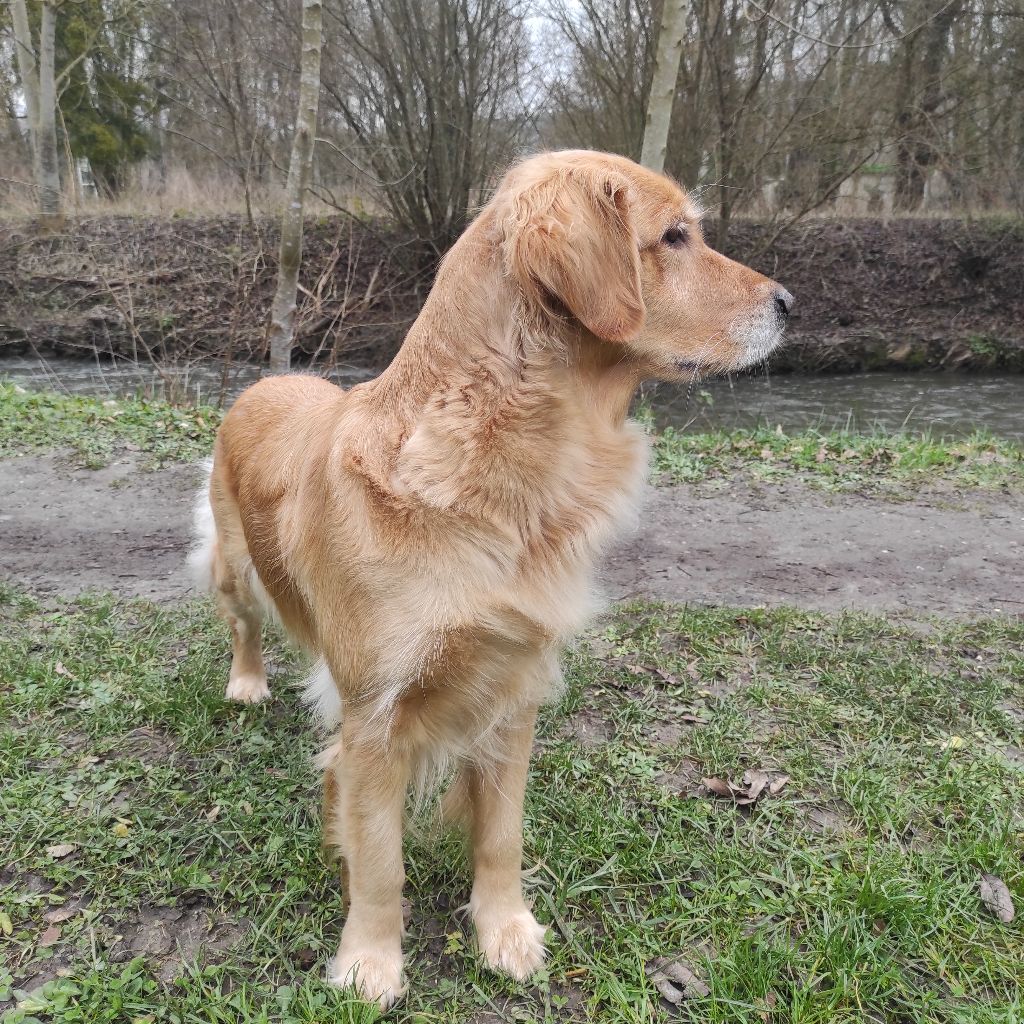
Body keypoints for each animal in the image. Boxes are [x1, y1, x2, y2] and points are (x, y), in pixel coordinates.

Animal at [188, 149, 786, 1007]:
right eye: (674, 236)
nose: (790, 303)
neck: (491, 468)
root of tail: (270, 380)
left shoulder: (512, 688)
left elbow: (501, 836)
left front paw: (505, 931)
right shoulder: (376, 718)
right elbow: (380, 860)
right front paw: (370, 962)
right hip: (235, 566)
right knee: (242, 623)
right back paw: (246, 683)